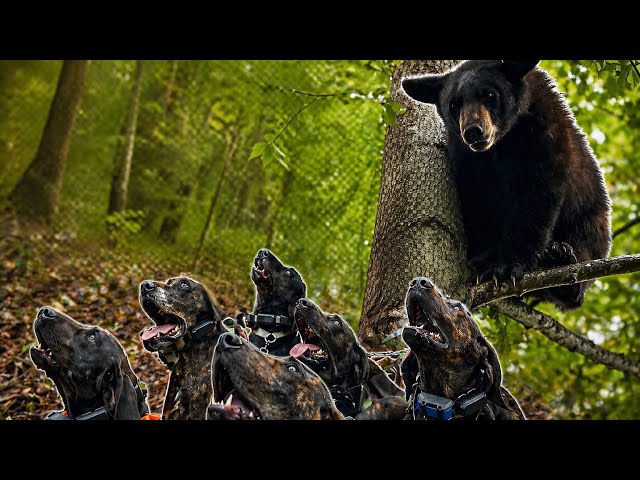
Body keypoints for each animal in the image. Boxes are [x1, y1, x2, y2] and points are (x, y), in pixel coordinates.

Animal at [402, 60, 612, 310]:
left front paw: (505, 266)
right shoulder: (466, 161)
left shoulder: (544, 132)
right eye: (454, 103)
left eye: (490, 94)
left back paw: (563, 262)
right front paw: (484, 260)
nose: (473, 131)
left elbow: (535, 199)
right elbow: (477, 204)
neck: (502, 143)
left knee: (586, 239)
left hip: (591, 215)